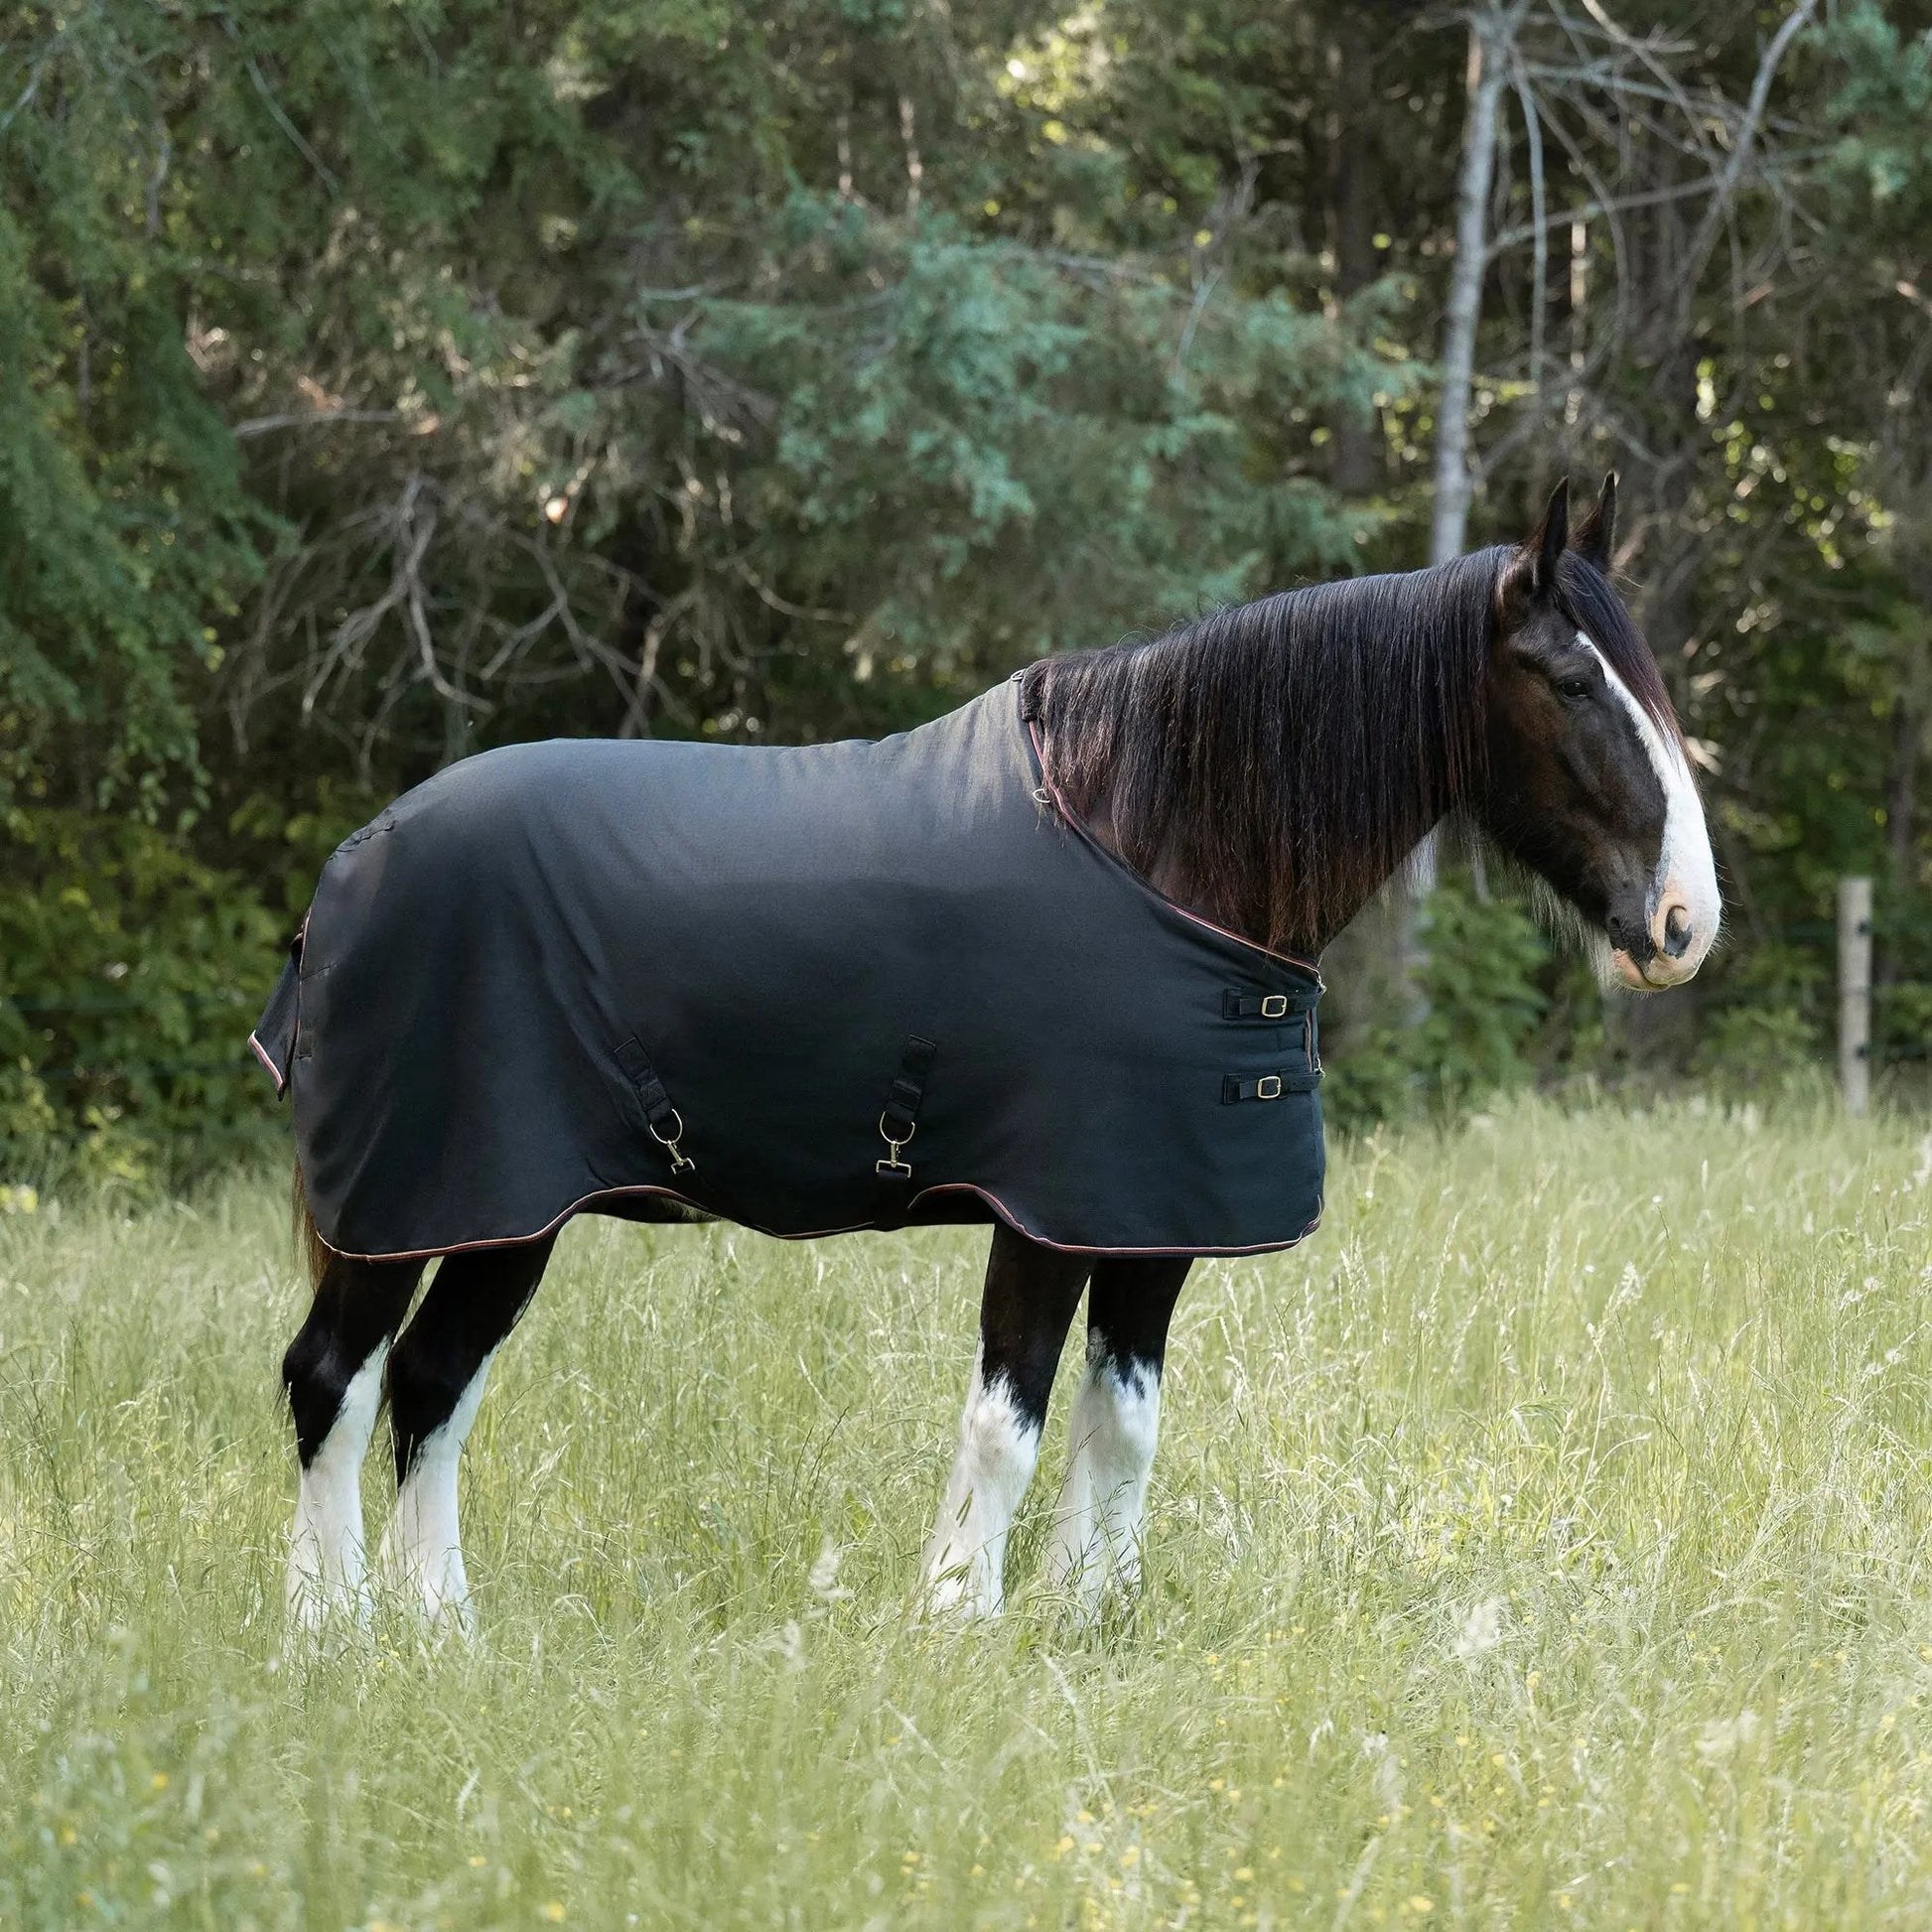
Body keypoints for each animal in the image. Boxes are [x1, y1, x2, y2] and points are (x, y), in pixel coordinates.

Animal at [265, 473, 1719, 1631]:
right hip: (422, 1204)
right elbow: (1005, 1421)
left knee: (431, 1382)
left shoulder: (1153, 1213)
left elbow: (1120, 1421)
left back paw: (442, 1629)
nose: (1682, 923)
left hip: (502, 1215)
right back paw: (329, 1628)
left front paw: (1089, 1616)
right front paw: (961, 1616)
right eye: (1573, 680)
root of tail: (353, 864)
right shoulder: (1048, 1209)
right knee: (334, 1377)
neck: (1150, 837)